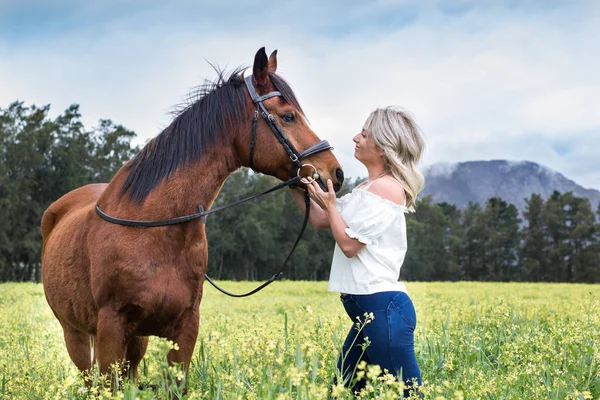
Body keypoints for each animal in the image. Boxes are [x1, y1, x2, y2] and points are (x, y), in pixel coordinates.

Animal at [39, 47, 344, 388]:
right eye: (288, 115)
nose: (335, 173)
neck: (155, 228)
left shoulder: (185, 327)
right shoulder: (110, 328)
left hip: (136, 342)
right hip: (76, 335)